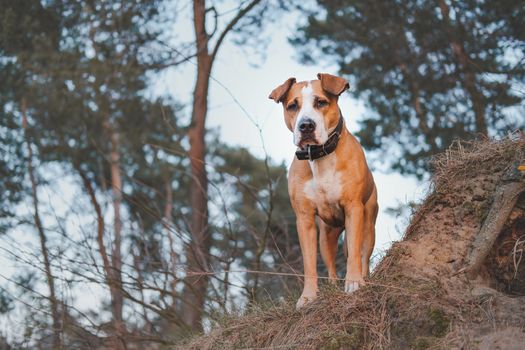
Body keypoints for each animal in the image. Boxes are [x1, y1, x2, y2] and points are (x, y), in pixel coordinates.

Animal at [270, 72, 376, 308]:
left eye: (321, 102)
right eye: (292, 106)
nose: (306, 126)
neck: (320, 156)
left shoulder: (353, 208)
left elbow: (354, 253)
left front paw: (354, 283)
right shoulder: (305, 219)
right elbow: (309, 263)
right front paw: (308, 296)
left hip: (368, 225)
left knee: (363, 255)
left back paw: (364, 277)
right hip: (326, 235)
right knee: (330, 264)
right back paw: (333, 287)